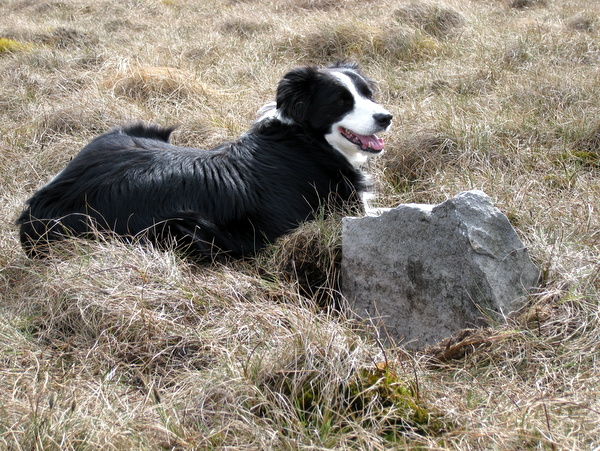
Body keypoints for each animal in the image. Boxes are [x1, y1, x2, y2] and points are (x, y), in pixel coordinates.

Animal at [16, 62, 392, 262]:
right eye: (341, 101)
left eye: (368, 94)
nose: (386, 117)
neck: (306, 139)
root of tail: (39, 206)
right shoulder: (343, 212)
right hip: (185, 228)